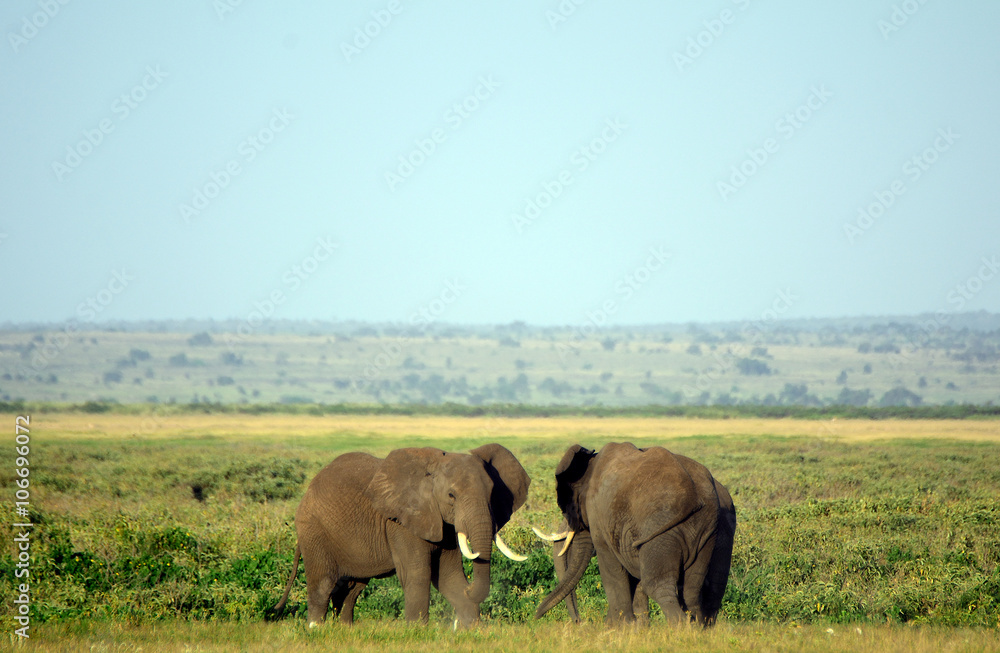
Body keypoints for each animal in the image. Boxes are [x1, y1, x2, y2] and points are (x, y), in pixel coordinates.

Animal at [266, 444, 532, 628]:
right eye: (451, 496)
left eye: (492, 494)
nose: (470, 591)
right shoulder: (401, 521)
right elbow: (418, 573)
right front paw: (417, 631)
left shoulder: (442, 523)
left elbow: (449, 577)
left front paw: (471, 629)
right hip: (313, 530)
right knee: (323, 583)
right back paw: (316, 629)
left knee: (352, 588)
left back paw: (345, 630)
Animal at [532, 440, 736, 624]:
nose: (578, 622)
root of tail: (697, 497)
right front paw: (638, 630)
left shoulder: (598, 514)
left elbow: (610, 566)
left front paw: (619, 628)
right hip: (705, 532)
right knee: (693, 589)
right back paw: (697, 628)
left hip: (661, 528)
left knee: (657, 584)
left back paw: (681, 627)